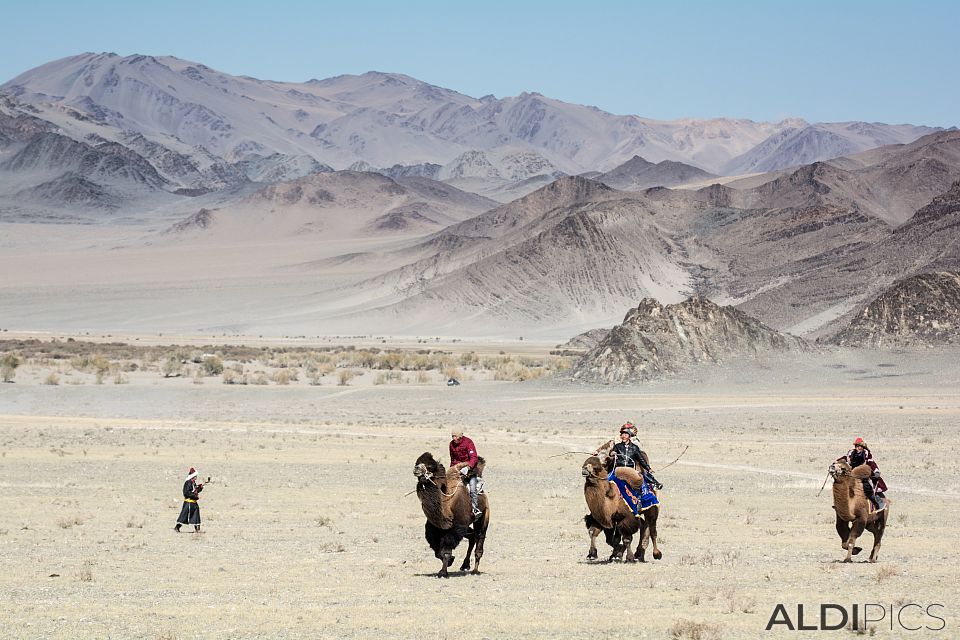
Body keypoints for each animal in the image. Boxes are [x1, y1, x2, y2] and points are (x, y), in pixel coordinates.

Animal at [412, 450, 492, 580]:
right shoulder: (435, 529)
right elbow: (437, 551)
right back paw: (465, 565)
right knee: (472, 536)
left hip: (483, 516)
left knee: (479, 538)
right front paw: (450, 562)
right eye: (417, 462)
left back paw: (475, 570)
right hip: (467, 526)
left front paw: (443, 572)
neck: (446, 506)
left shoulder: (457, 526)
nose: (416, 468)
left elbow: (445, 551)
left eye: (429, 466)